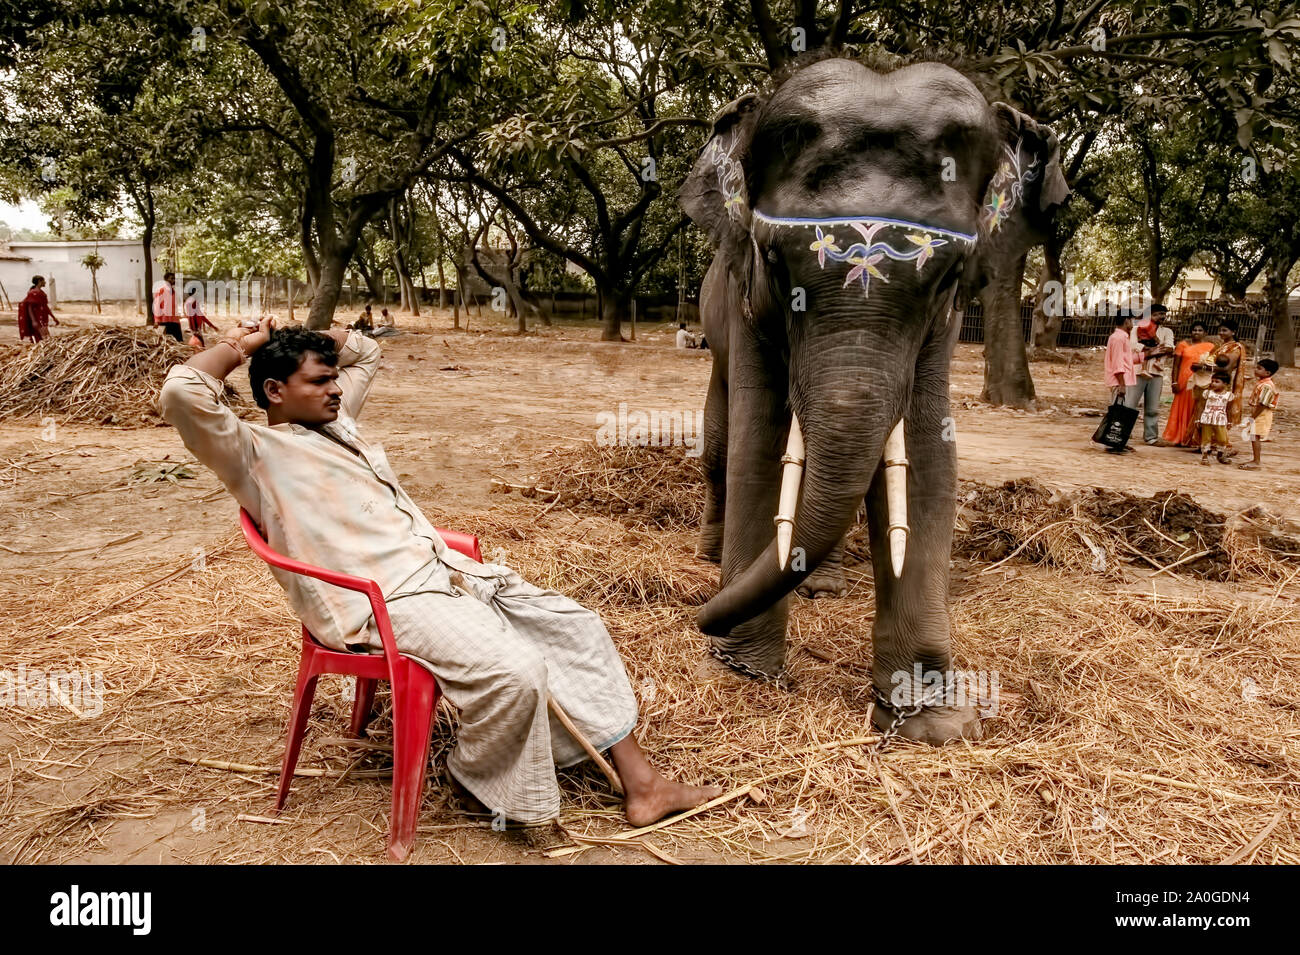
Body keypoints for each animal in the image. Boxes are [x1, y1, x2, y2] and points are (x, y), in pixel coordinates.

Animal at [681, 54, 1066, 748]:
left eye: (949, 276)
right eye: (776, 262)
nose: (703, 620)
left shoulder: (946, 325)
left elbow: (929, 459)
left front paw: (933, 720)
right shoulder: (746, 301)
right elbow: (760, 440)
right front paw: (741, 674)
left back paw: (822, 585)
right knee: (721, 444)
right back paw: (710, 556)